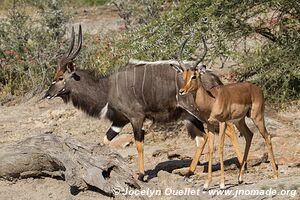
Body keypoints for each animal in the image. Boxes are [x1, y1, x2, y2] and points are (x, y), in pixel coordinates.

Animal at [43, 25, 243, 183]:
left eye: (59, 78)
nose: (47, 94)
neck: (107, 88)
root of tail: (213, 77)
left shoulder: (136, 117)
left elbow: (138, 144)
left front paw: (140, 175)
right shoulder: (119, 121)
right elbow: (104, 141)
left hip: (199, 113)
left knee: (228, 128)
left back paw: (241, 165)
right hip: (189, 117)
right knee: (203, 137)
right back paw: (189, 171)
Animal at [177, 33, 278, 188]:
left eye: (194, 76)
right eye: (183, 76)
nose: (181, 91)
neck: (211, 100)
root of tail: (256, 88)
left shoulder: (222, 122)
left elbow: (221, 148)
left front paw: (222, 184)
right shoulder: (210, 125)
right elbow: (211, 150)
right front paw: (207, 184)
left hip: (257, 117)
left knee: (267, 137)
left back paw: (275, 175)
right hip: (240, 121)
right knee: (249, 135)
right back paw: (240, 178)